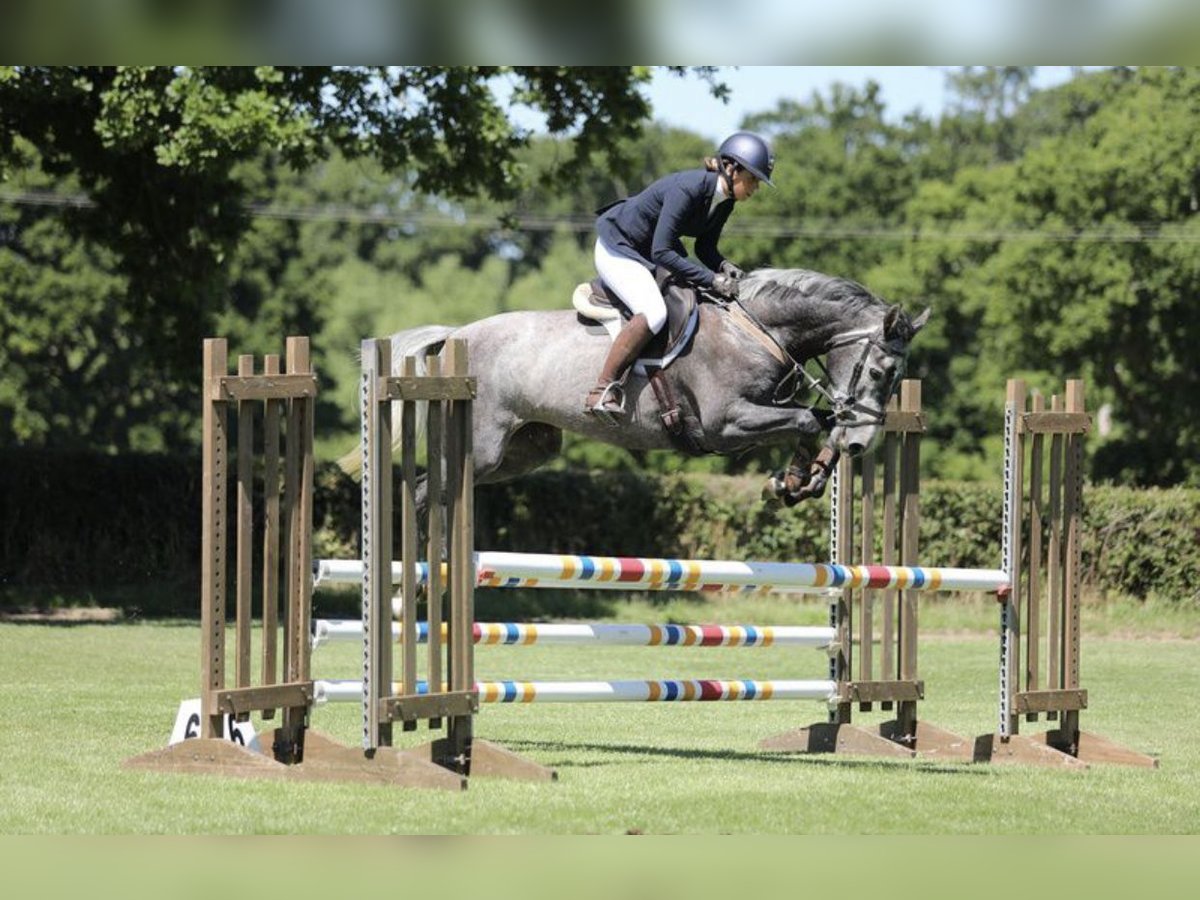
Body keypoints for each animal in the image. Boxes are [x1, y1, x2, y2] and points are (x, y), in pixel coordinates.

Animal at [338, 266, 926, 508]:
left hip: (524, 451)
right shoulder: (725, 424)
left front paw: (801, 479)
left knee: (435, 487)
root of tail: (457, 335)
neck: (757, 329)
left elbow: (816, 420)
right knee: (422, 489)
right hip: (479, 448)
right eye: (880, 372)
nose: (862, 444)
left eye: (897, 380)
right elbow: (805, 419)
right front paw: (794, 479)